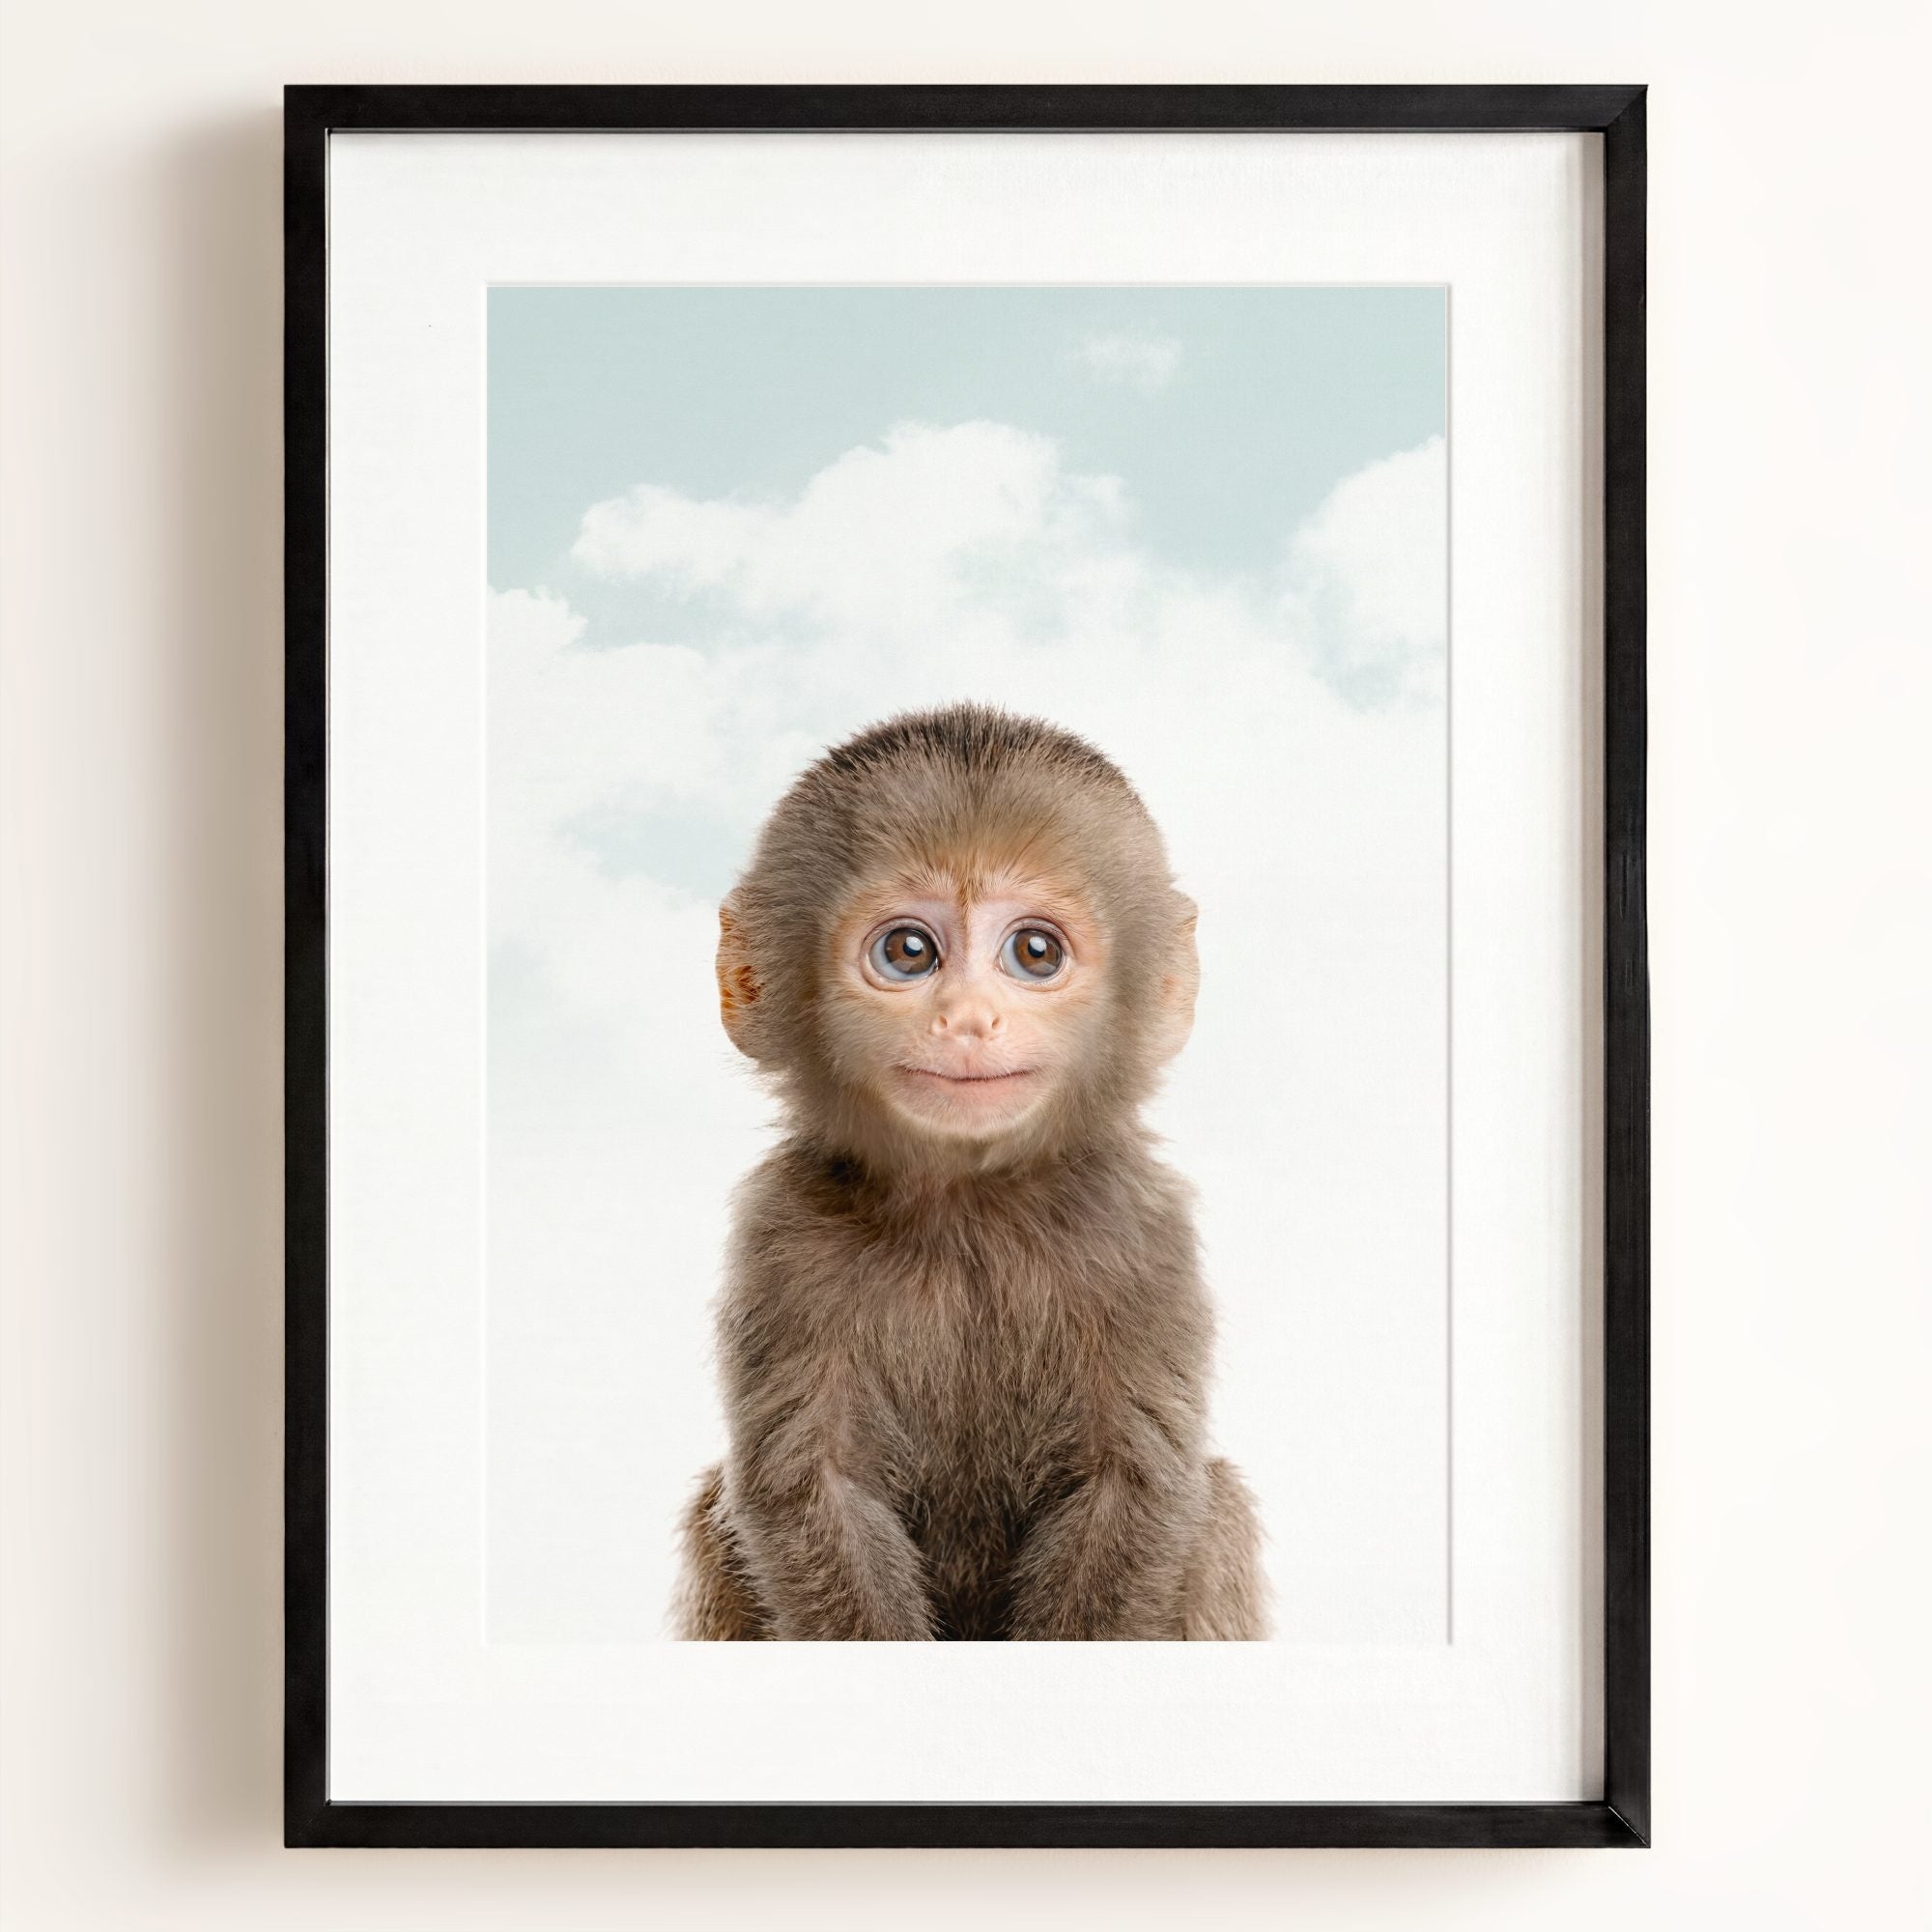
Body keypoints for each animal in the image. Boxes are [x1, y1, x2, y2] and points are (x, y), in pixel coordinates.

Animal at [674, 703, 1267, 1640]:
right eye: (910, 952)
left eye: (1035, 952)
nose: (968, 1019)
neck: (968, 1207)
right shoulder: (782, 1233)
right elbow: (813, 1490)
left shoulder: (1142, 1231)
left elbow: (1133, 1485)